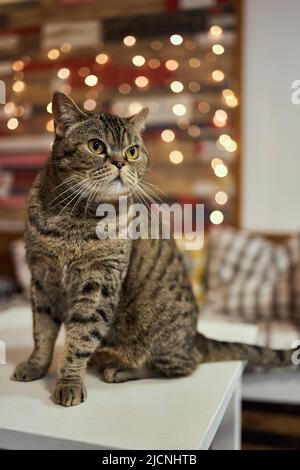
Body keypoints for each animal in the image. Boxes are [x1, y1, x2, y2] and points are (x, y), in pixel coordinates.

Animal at [12, 92, 296, 408]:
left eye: (133, 151)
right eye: (96, 146)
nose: (120, 162)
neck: (74, 218)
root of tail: (196, 336)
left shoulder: (99, 281)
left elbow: (81, 337)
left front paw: (69, 381)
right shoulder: (41, 278)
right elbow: (42, 332)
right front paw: (36, 365)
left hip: (160, 340)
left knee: (180, 365)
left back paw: (117, 367)